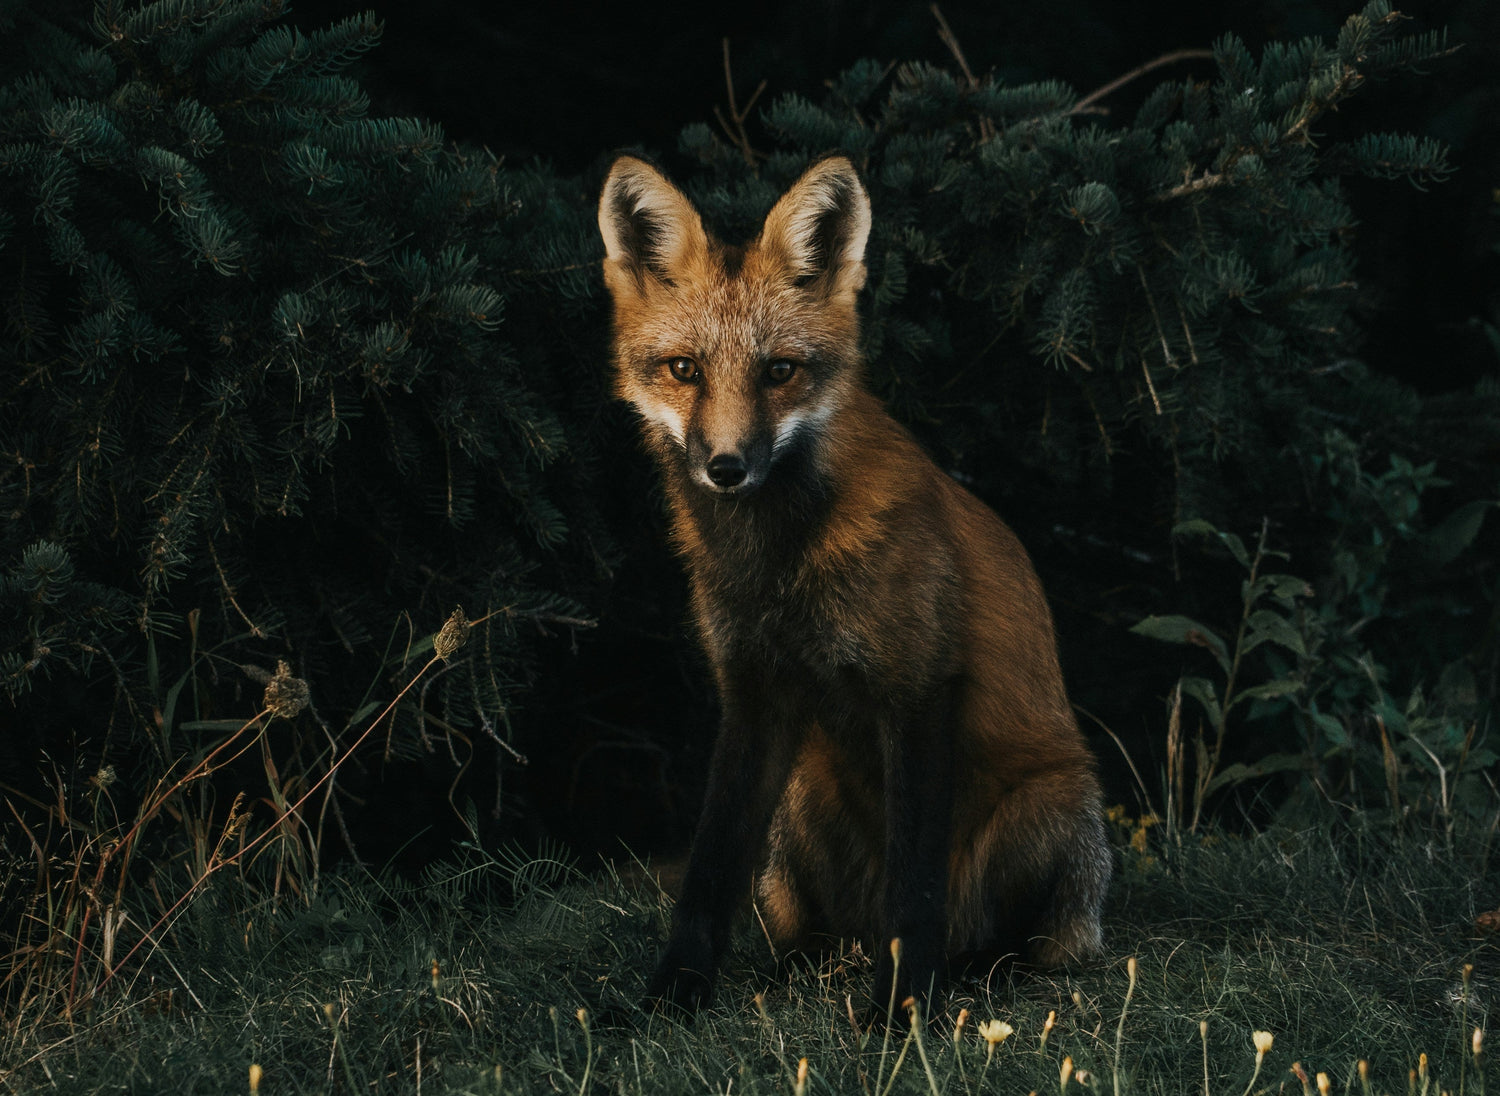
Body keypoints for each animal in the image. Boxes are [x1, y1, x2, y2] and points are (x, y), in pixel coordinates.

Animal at [597, 153, 1111, 1019]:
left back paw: (968, 973)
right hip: (801, 801)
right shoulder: (753, 693)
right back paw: (805, 965)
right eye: (684, 370)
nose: (727, 467)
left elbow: (914, 887)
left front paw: (904, 1012)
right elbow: (707, 872)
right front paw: (671, 995)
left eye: (780, 371)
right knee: (812, 930)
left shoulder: (919, 686)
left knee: (1012, 942)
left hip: (1053, 810)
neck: (778, 565)